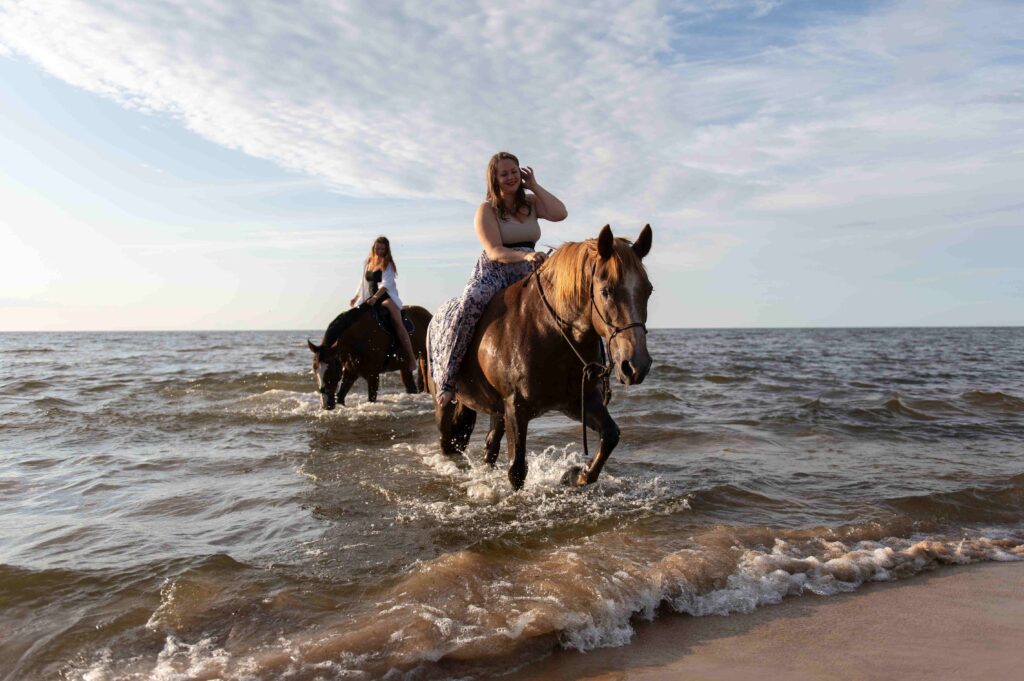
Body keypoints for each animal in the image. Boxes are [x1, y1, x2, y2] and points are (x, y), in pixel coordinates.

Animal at [425, 227, 651, 489]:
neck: (548, 331)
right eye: (606, 290)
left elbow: (611, 435)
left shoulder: (579, 402)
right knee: (449, 444)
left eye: (648, 290)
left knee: (489, 447)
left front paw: (576, 474)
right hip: (447, 406)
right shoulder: (516, 408)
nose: (636, 366)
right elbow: (516, 470)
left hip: (496, 411)